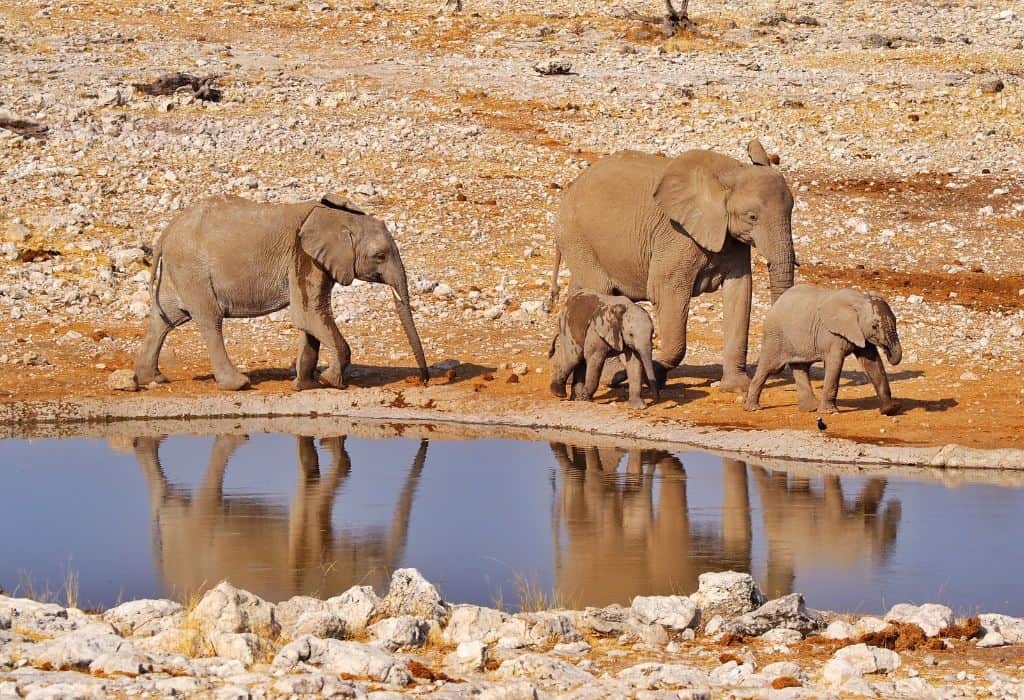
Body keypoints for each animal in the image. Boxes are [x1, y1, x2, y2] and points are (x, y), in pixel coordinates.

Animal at [133, 194, 428, 390]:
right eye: (380, 256)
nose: (423, 380)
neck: (338, 217)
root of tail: (167, 230)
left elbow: (310, 319)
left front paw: (304, 385)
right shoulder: (303, 257)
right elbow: (307, 314)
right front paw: (330, 381)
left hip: (178, 271)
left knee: (165, 319)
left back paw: (152, 379)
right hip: (193, 270)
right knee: (210, 320)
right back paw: (238, 384)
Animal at [552, 139, 798, 390]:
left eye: (791, 211)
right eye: (752, 217)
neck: (730, 172)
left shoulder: (730, 238)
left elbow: (740, 293)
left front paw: (736, 387)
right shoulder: (677, 236)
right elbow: (665, 290)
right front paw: (649, 375)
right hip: (578, 238)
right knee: (601, 292)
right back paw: (613, 376)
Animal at [745, 284, 905, 415]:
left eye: (896, 320)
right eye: (874, 326)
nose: (888, 352)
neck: (859, 300)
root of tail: (777, 302)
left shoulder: (859, 332)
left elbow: (873, 363)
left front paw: (890, 409)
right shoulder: (832, 334)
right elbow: (835, 363)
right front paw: (829, 412)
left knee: (800, 367)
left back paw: (810, 409)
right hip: (775, 335)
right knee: (769, 368)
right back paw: (752, 408)